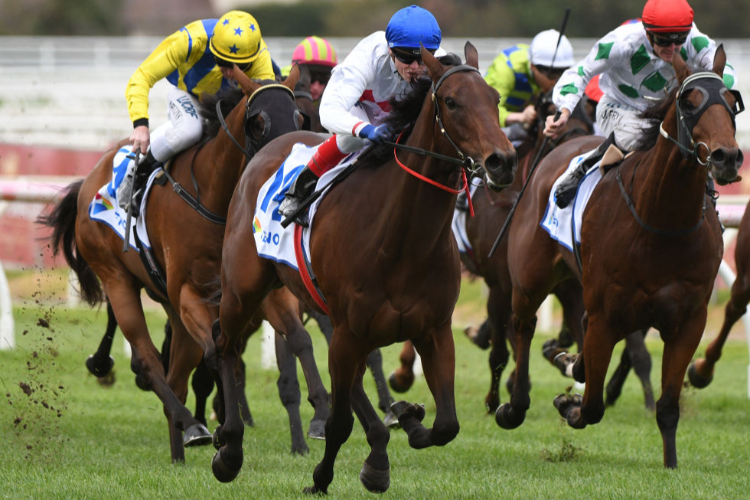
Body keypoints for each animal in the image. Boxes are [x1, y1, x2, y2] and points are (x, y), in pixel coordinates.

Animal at [41, 67, 332, 464]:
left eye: (301, 118)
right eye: (258, 122)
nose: (292, 168)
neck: (217, 200)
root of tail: (90, 178)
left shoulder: (260, 292)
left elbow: (300, 338)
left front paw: (321, 414)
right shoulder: (189, 293)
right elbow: (215, 351)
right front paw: (224, 427)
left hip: (169, 305)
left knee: (176, 374)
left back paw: (179, 451)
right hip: (117, 278)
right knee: (147, 360)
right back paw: (191, 425)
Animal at [209, 45, 520, 490]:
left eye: (495, 99)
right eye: (451, 101)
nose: (502, 162)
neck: (401, 241)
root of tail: (267, 149)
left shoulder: (433, 329)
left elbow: (447, 424)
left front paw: (406, 420)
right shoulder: (350, 330)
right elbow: (338, 423)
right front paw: (321, 478)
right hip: (244, 289)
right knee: (225, 344)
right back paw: (229, 447)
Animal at [502, 48, 744, 466]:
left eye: (732, 102)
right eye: (689, 102)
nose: (726, 157)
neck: (661, 223)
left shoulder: (688, 321)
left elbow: (667, 406)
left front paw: (671, 463)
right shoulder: (607, 316)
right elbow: (592, 406)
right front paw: (570, 405)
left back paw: (564, 358)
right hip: (530, 279)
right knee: (523, 325)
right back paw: (515, 405)